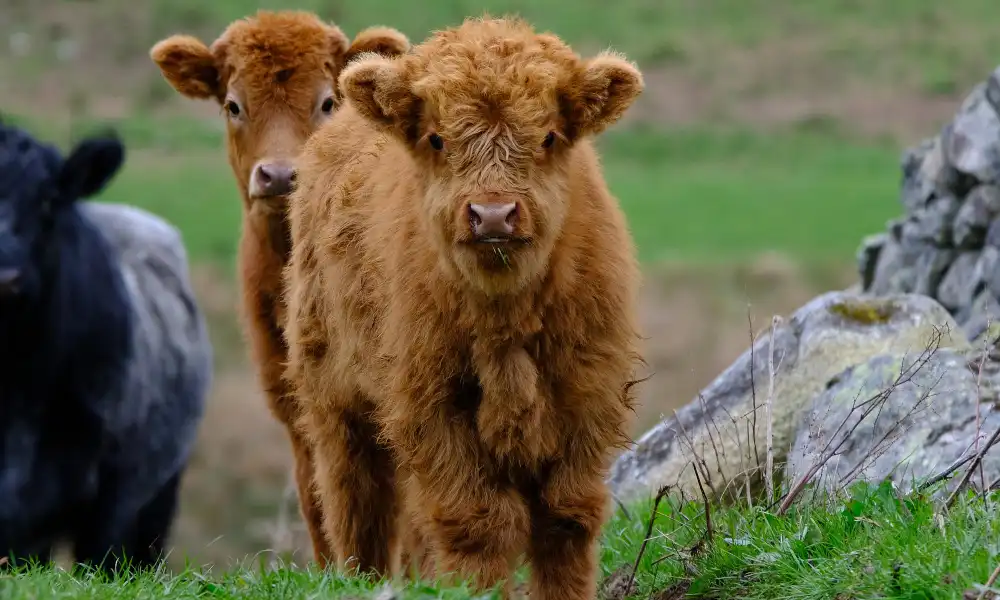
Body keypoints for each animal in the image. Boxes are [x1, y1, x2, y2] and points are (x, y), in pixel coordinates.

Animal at [284, 15, 640, 600]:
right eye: (437, 138)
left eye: (548, 136)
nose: (493, 215)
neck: (504, 323)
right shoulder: (431, 404)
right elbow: (479, 524)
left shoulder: (587, 395)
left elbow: (567, 519)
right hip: (335, 401)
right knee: (357, 502)